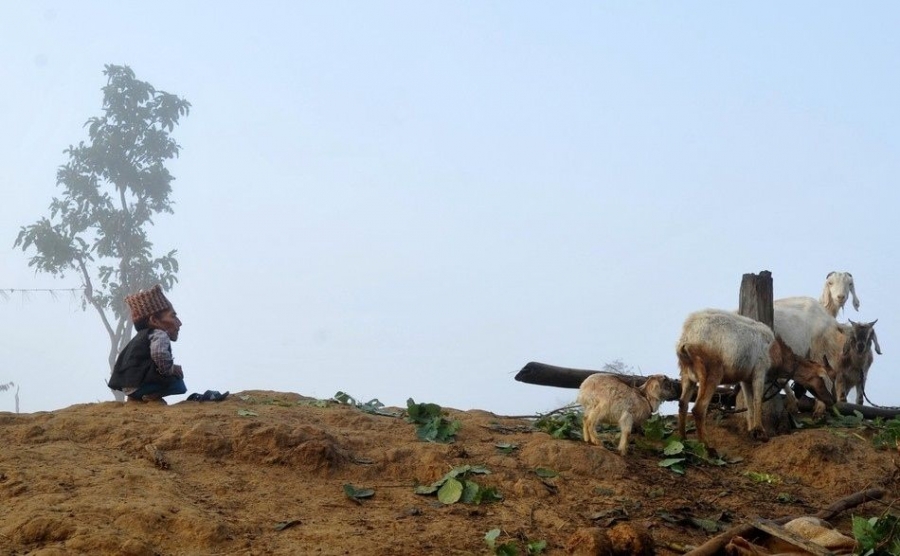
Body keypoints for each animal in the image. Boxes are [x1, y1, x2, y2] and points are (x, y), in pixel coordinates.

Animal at [684, 310, 836, 446]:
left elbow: (749, 403)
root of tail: (687, 336)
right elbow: (757, 400)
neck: (776, 351)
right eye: (824, 379)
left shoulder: (745, 379)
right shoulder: (759, 371)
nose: (832, 400)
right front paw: (760, 432)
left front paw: (751, 430)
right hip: (710, 373)